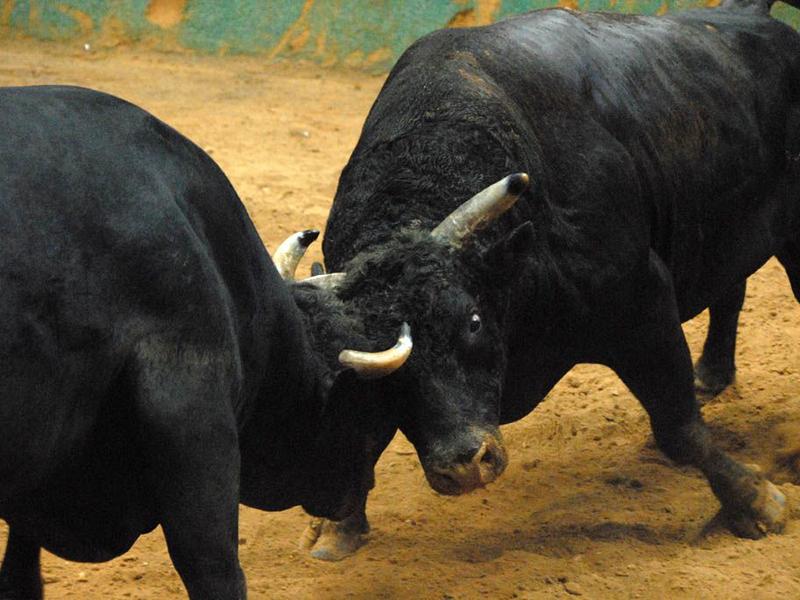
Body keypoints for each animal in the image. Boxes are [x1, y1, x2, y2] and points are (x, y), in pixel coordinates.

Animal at [299, 0, 800, 560]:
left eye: (473, 322)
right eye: (386, 374)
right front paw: (338, 527)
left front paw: (756, 501)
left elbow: (679, 427)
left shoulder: (641, 303)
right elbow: (359, 443)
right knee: (730, 288)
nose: (464, 466)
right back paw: (711, 376)